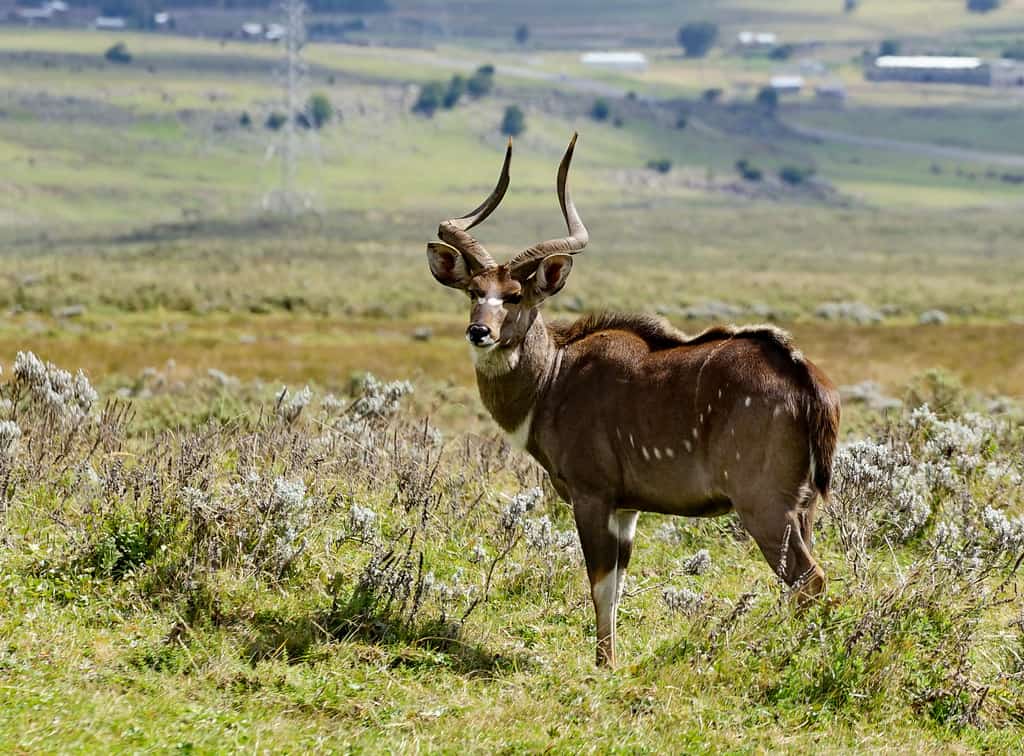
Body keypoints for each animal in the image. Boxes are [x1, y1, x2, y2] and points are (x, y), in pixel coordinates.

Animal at [423, 135, 839, 663]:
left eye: (516, 294)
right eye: (474, 291)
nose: (479, 332)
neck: (555, 377)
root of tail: (810, 384)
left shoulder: (592, 494)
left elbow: (599, 584)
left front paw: (603, 665)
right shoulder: (628, 507)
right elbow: (618, 586)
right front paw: (612, 660)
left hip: (765, 506)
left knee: (809, 580)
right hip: (804, 510)